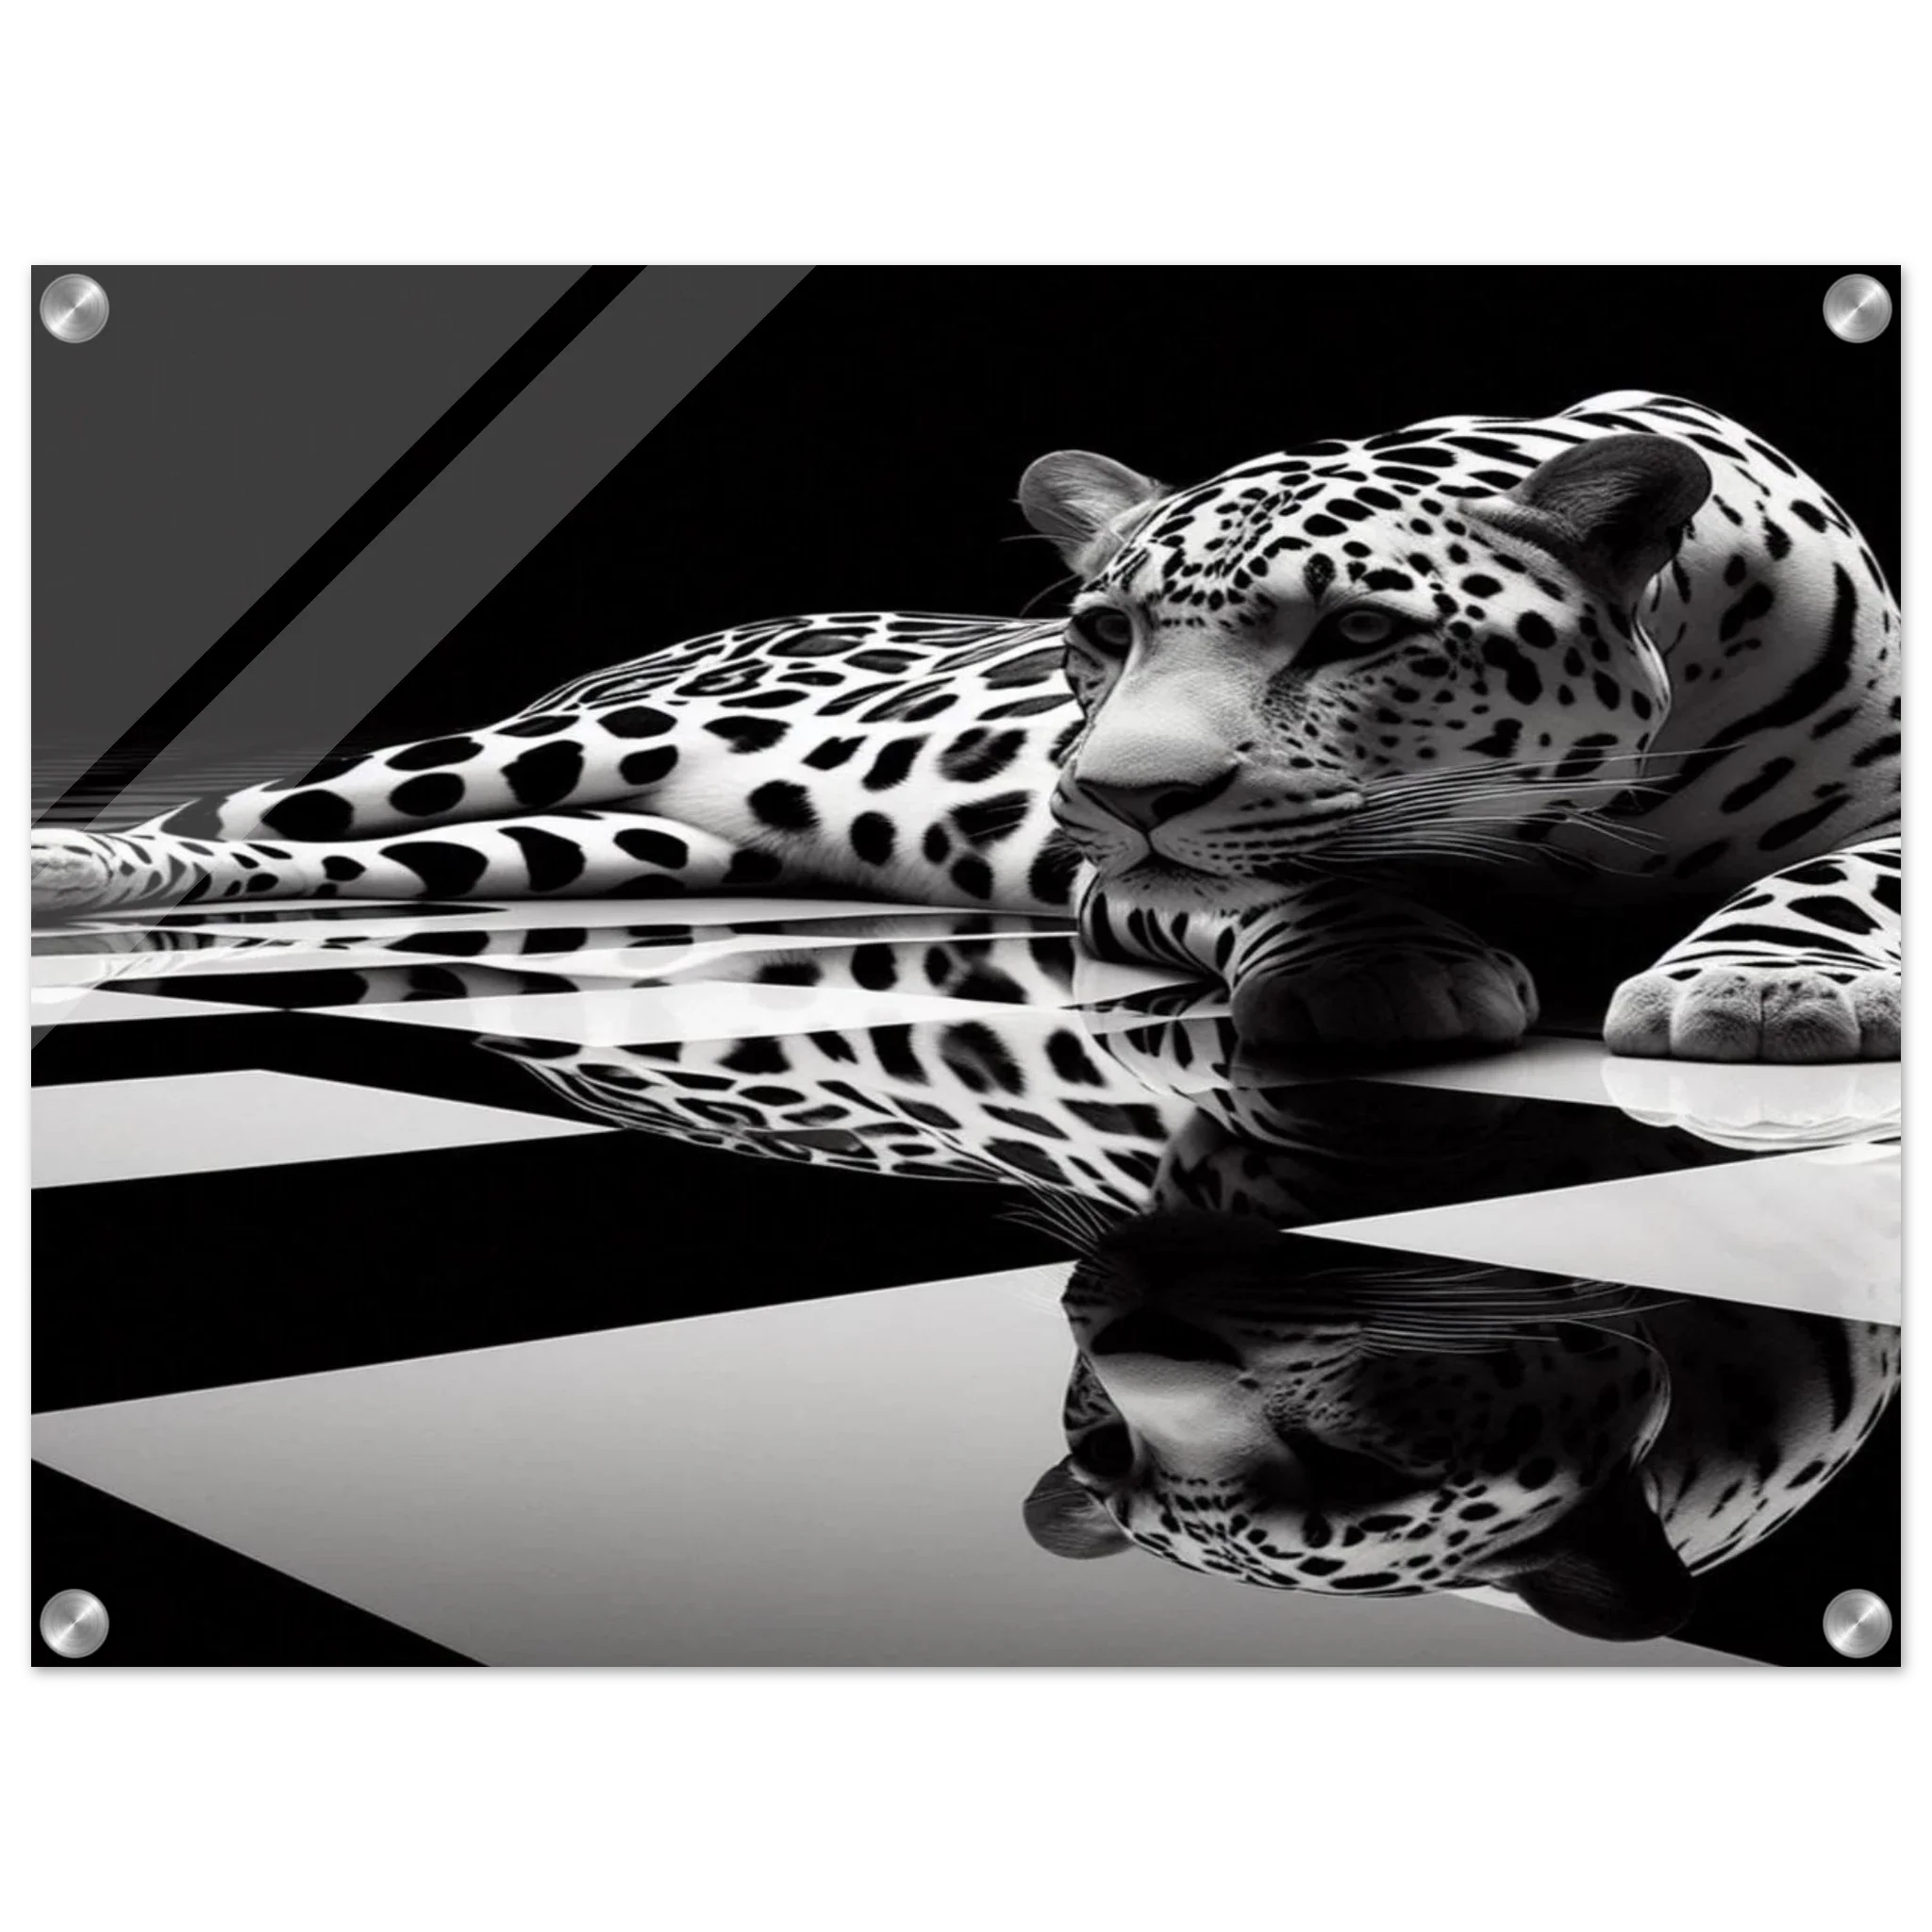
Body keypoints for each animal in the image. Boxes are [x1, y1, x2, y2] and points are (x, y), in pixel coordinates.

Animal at [30, 391, 1903, 1066]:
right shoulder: (1127, 880)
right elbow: (1287, 877)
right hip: (525, 757)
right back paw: (70, 868)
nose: (1115, 789)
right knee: (246, 811)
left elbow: (1836, 877)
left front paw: (1766, 985)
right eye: (1102, 633)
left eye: (1362, 632)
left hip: (584, 838)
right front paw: (1383, 966)